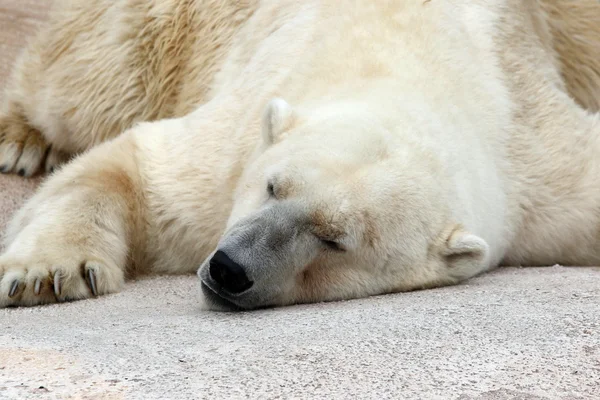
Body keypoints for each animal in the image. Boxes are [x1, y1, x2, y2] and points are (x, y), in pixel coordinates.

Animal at [1, 0, 600, 310]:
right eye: (273, 186)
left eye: (334, 241)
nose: (229, 269)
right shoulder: (231, 149)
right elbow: (145, 170)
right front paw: (47, 274)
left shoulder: (537, 171)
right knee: (90, 81)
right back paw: (24, 137)